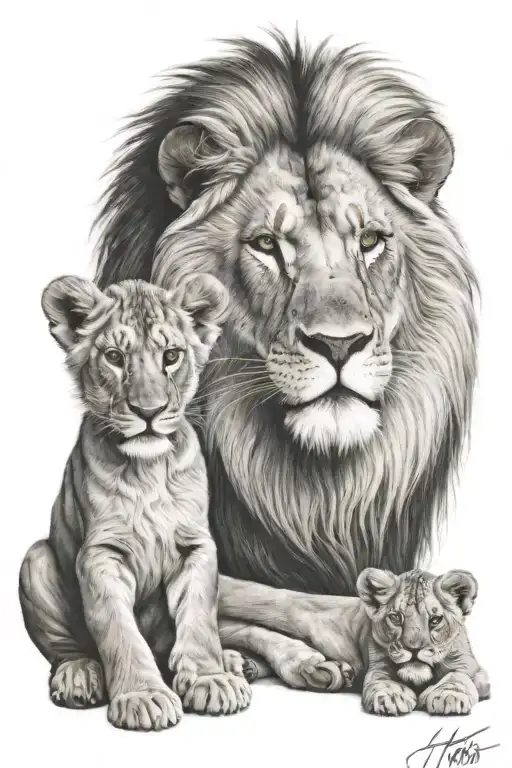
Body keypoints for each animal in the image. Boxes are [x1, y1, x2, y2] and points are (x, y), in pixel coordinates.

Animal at [19, 274, 253, 731]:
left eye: (171, 356)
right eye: (113, 357)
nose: (149, 411)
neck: (150, 472)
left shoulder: (197, 547)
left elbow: (199, 617)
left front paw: (211, 679)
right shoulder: (100, 555)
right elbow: (119, 631)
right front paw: (143, 698)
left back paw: (233, 661)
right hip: (35, 560)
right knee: (66, 647)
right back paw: (78, 675)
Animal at [217, 568, 490, 715]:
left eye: (435, 620)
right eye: (396, 617)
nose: (413, 649)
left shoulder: (476, 671)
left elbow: (458, 675)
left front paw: (448, 696)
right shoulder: (377, 666)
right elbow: (382, 680)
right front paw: (391, 697)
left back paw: (245, 666)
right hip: (297, 616)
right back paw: (313, 669)